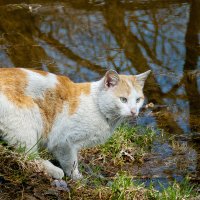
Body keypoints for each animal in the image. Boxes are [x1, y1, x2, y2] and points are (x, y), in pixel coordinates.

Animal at [0, 68, 150, 180]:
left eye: (138, 100)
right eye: (123, 99)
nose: (134, 111)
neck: (97, 106)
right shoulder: (63, 141)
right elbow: (70, 162)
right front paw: (77, 177)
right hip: (28, 120)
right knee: (28, 156)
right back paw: (54, 171)